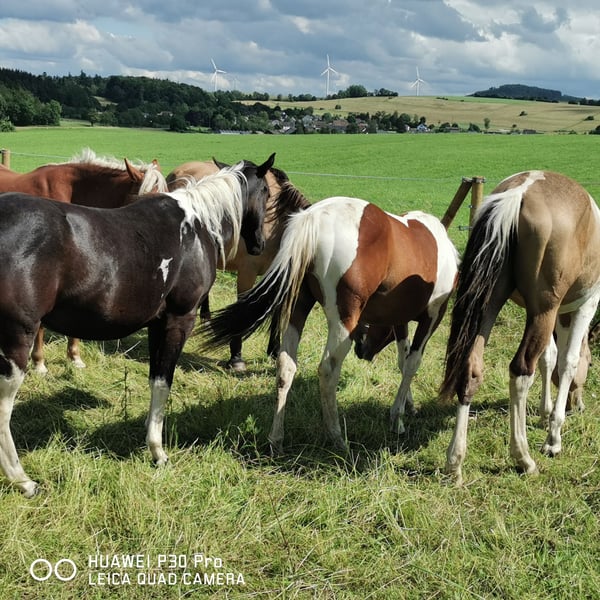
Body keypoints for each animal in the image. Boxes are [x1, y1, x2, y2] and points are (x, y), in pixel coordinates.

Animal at [202, 197, 459, 453]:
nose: (363, 350)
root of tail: (313, 218)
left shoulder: (399, 318)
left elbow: (402, 360)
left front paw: (407, 408)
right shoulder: (432, 316)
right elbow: (412, 363)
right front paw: (397, 418)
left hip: (298, 307)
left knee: (286, 365)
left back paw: (276, 439)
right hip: (342, 323)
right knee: (328, 370)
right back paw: (336, 437)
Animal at [439, 170, 600, 484]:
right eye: (592, 364)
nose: (578, 405)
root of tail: (518, 193)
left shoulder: (552, 314)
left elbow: (549, 358)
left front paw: (546, 412)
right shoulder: (583, 305)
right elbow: (567, 362)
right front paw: (553, 436)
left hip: (491, 303)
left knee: (471, 367)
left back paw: (455, 461)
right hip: (543, 311)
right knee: (521, 370)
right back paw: (523, 458)